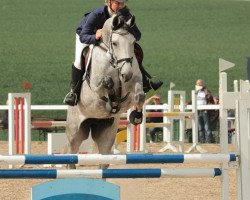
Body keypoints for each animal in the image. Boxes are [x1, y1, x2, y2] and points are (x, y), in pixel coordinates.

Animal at [65, 13, 146, 169]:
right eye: (114, 43)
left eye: (133, 42)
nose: (126, 74)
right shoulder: (95, 88)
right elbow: (106, 85)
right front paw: (111, 100)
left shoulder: (135, 81)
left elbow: (140, 96)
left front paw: (137, 116)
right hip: (75, 132)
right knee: (71, 155)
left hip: (106, 134)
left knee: (104, 161)